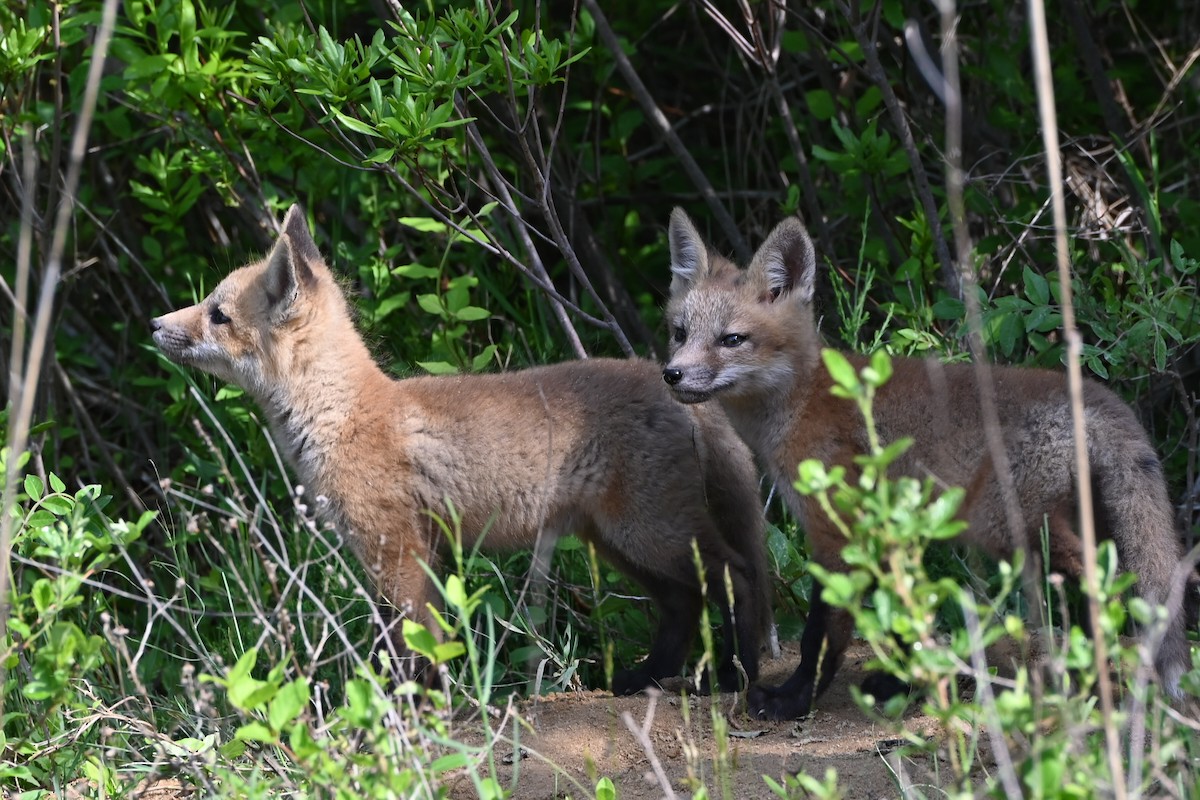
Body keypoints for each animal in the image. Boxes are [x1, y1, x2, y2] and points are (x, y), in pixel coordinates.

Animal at [151, 204, 772, 695]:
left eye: (217, 314)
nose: (155, 323)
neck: (344, 415)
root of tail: (674, 383)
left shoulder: (398, 552)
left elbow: (416, 646)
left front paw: (417, 715)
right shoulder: (408, 553)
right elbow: (414, 643)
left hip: (651, 533)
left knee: (738, 577)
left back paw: (735, 677)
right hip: (623, 544)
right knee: (684, 605)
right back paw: (646, 679)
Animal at [661, 207, 1193, 720]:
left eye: (732, 339)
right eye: (679, 333)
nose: (672, 374)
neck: (804, 399)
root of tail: (1094, 396)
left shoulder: (838, 530)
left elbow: (823, 633)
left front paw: (793, 701)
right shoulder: (884, 528)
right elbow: (900, 613)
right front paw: (898, 684)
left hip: (1008, 526)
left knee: (1100, 586)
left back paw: (1087, 679)